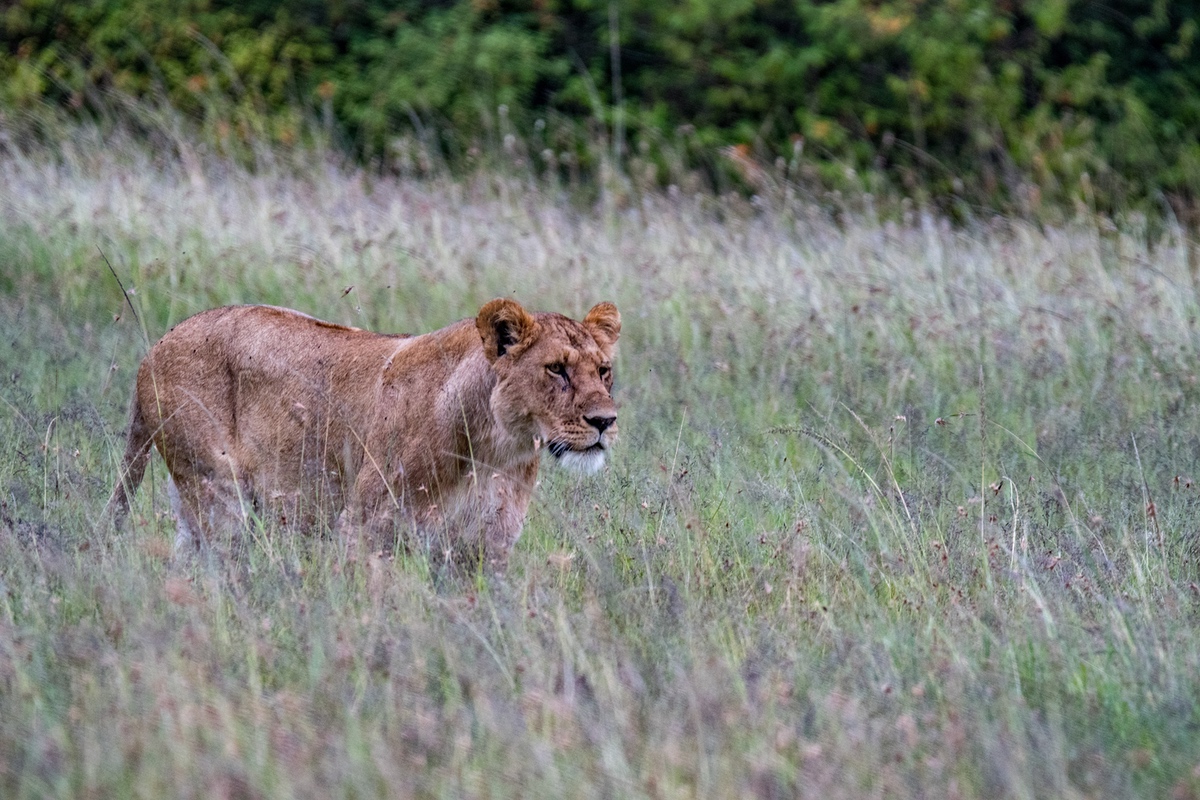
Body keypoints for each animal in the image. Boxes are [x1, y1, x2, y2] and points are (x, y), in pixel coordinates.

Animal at [107, 298, 621, 570]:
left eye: (603, 371)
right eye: (556, 370)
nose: (605, 422)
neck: (493, 450)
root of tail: (154, 348)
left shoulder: (484, 550)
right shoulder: (364, 530)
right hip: (217, 493)